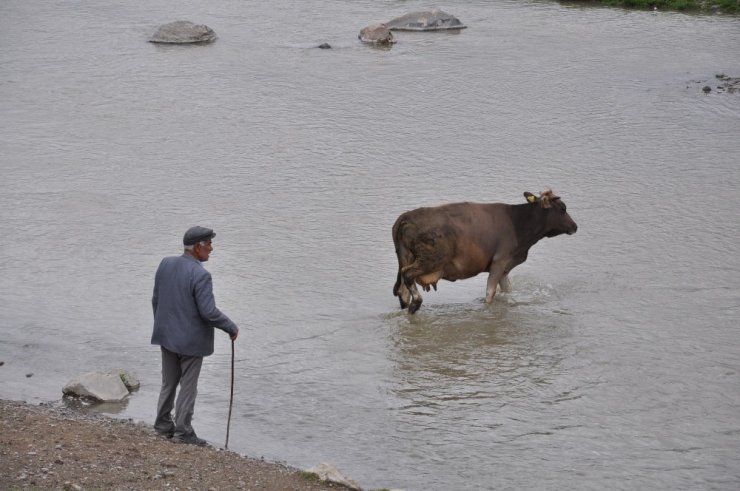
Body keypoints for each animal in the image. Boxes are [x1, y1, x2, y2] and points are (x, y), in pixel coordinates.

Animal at [394, 190, 580, 314]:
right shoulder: (499, 261)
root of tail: (405, 217)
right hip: (430, 259)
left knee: (403, 291)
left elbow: (507, 290)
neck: (519, 226)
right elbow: (490, 293)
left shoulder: (505, 267)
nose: (575, 226)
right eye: (563, 209)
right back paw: (416, 304)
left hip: (406, 257)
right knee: (408, 275)